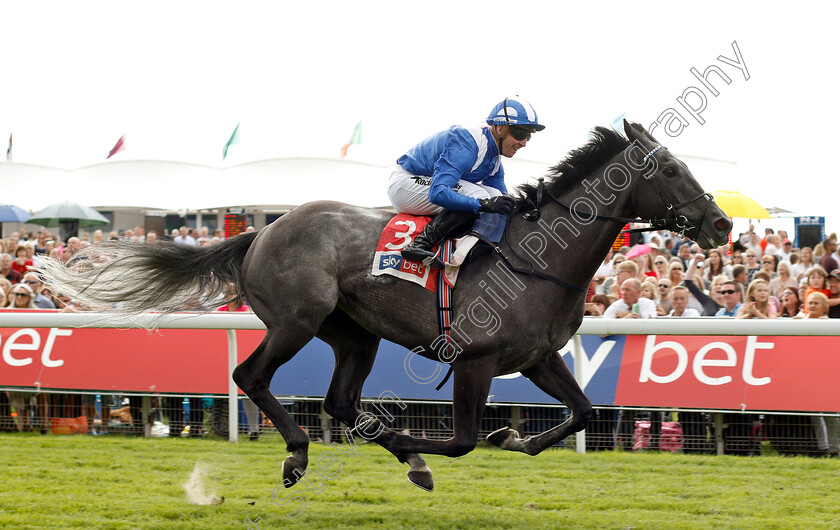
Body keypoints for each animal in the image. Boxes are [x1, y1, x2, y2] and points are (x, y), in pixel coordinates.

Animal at [37, 120, 728, 490]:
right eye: (670, 170)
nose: (721, 224)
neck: (541, 258)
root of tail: (262, 229)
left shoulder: (536, 358)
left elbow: (583, 411)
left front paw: (515, 438)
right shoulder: (475, 361)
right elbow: (463, 440)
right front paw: (444, 446)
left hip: (355, 334)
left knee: (340, 401)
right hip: (296, 320)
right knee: (250, 376)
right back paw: (299, 452)